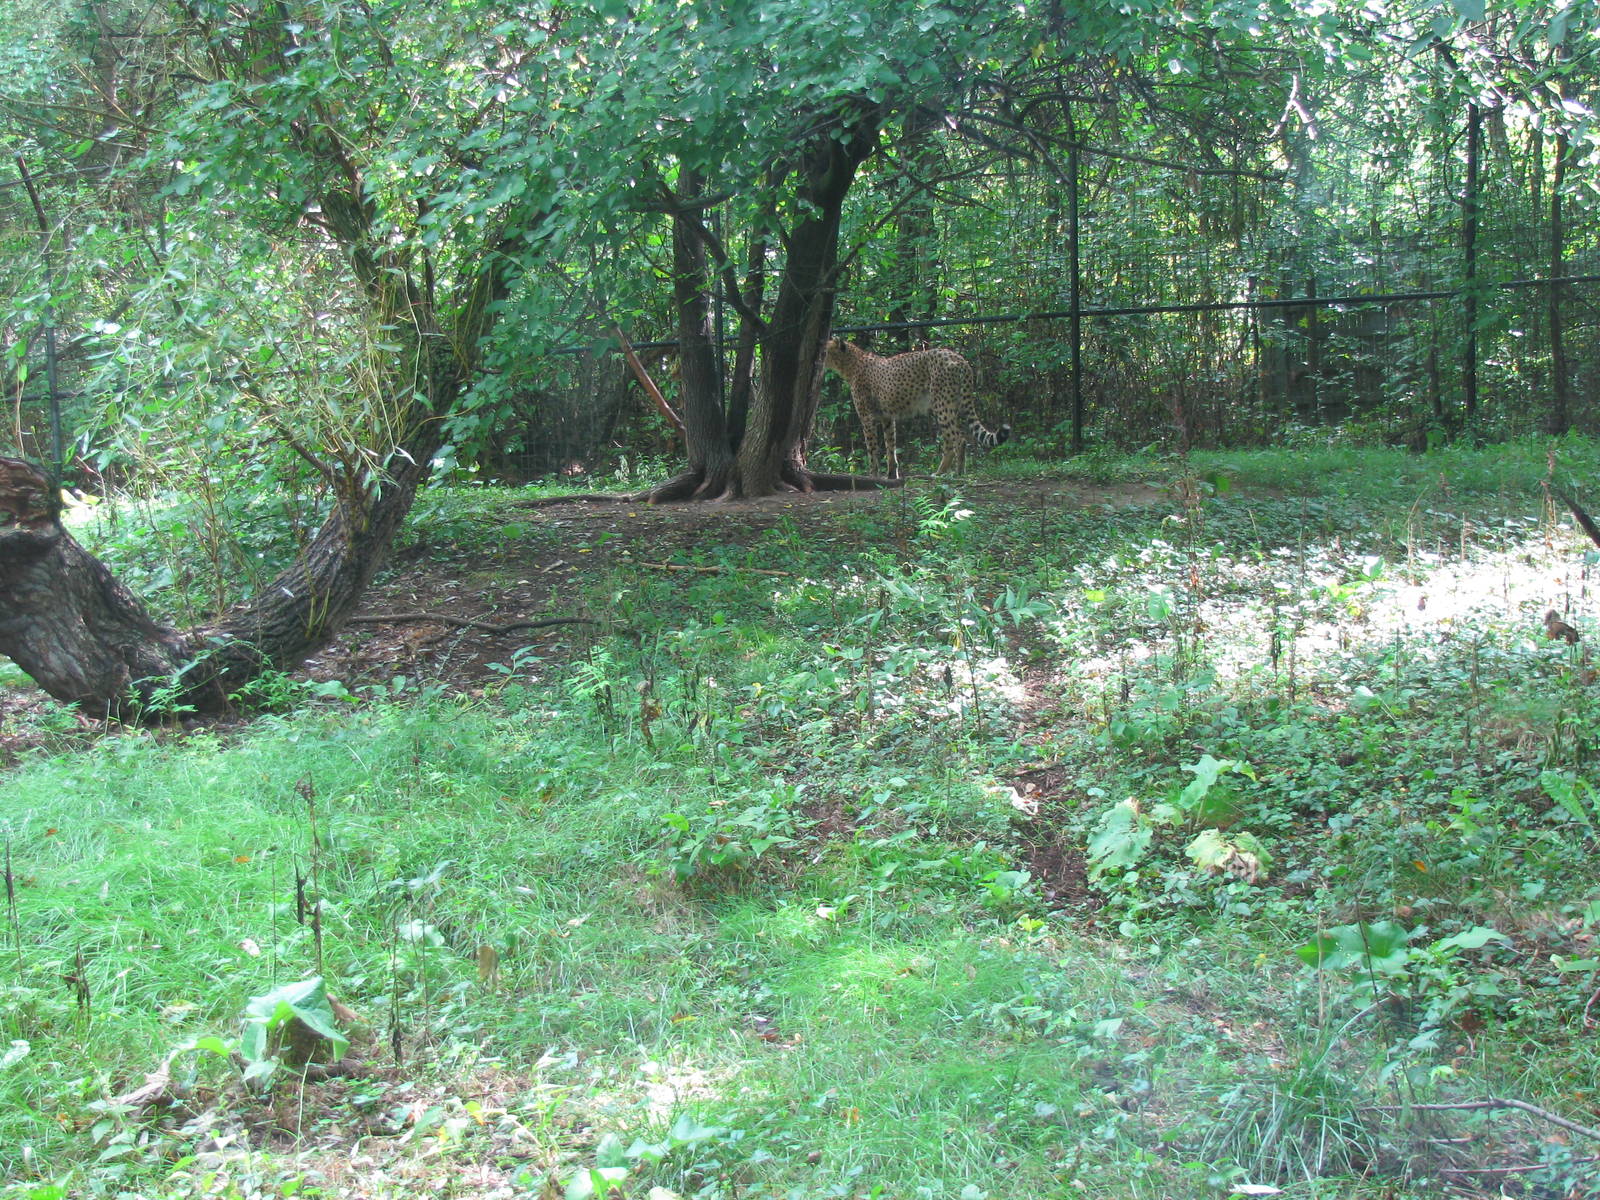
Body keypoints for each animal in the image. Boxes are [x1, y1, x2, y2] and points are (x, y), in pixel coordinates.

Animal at [822, 338, 1010, 478]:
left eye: (826, 351)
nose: (819, 359)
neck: (852, 363)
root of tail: (958, 357)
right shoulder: (887, 417)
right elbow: (890, 447)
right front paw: (892, 475)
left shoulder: (867, 418)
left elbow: (872, 449)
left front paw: (873, 475)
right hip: (952, 404)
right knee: (956, 438)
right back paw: (955, 472)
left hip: (941, 405)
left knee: (956, 439)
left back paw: (946, 473)